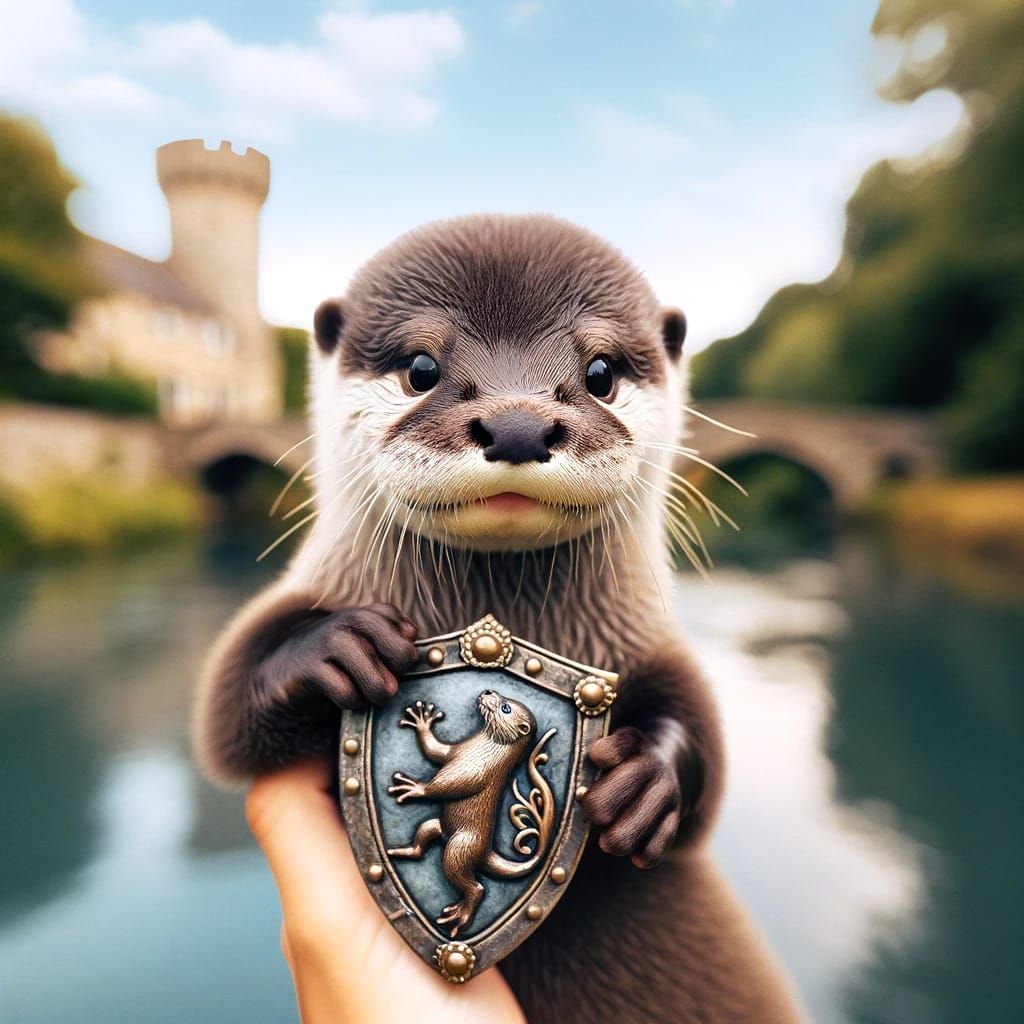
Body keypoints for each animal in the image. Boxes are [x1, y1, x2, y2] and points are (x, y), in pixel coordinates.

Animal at [387, 690, 556, 936]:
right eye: (504, 700)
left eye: (506, 708)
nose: (488, 692)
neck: (485, 746)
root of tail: (485, 852)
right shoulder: (456, 751)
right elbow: (437, 751)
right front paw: (421, 721)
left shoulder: (476, 769)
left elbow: (447, 786)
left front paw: (416, 788)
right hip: (438, 826)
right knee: (422, 841)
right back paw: (403, 850)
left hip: (459, 850)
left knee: (477, 887)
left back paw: (459, 917)